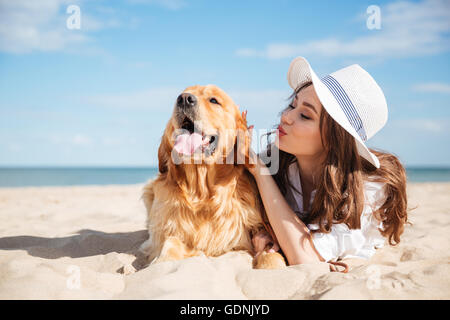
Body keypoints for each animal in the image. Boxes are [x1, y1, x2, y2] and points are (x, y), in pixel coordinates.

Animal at [141, 84, 286, 268]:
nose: (184, 99)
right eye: (182, 94)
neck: (202, 193)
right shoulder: (165, 235)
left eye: (214, 100)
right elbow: (169, 245)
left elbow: (271, 256)